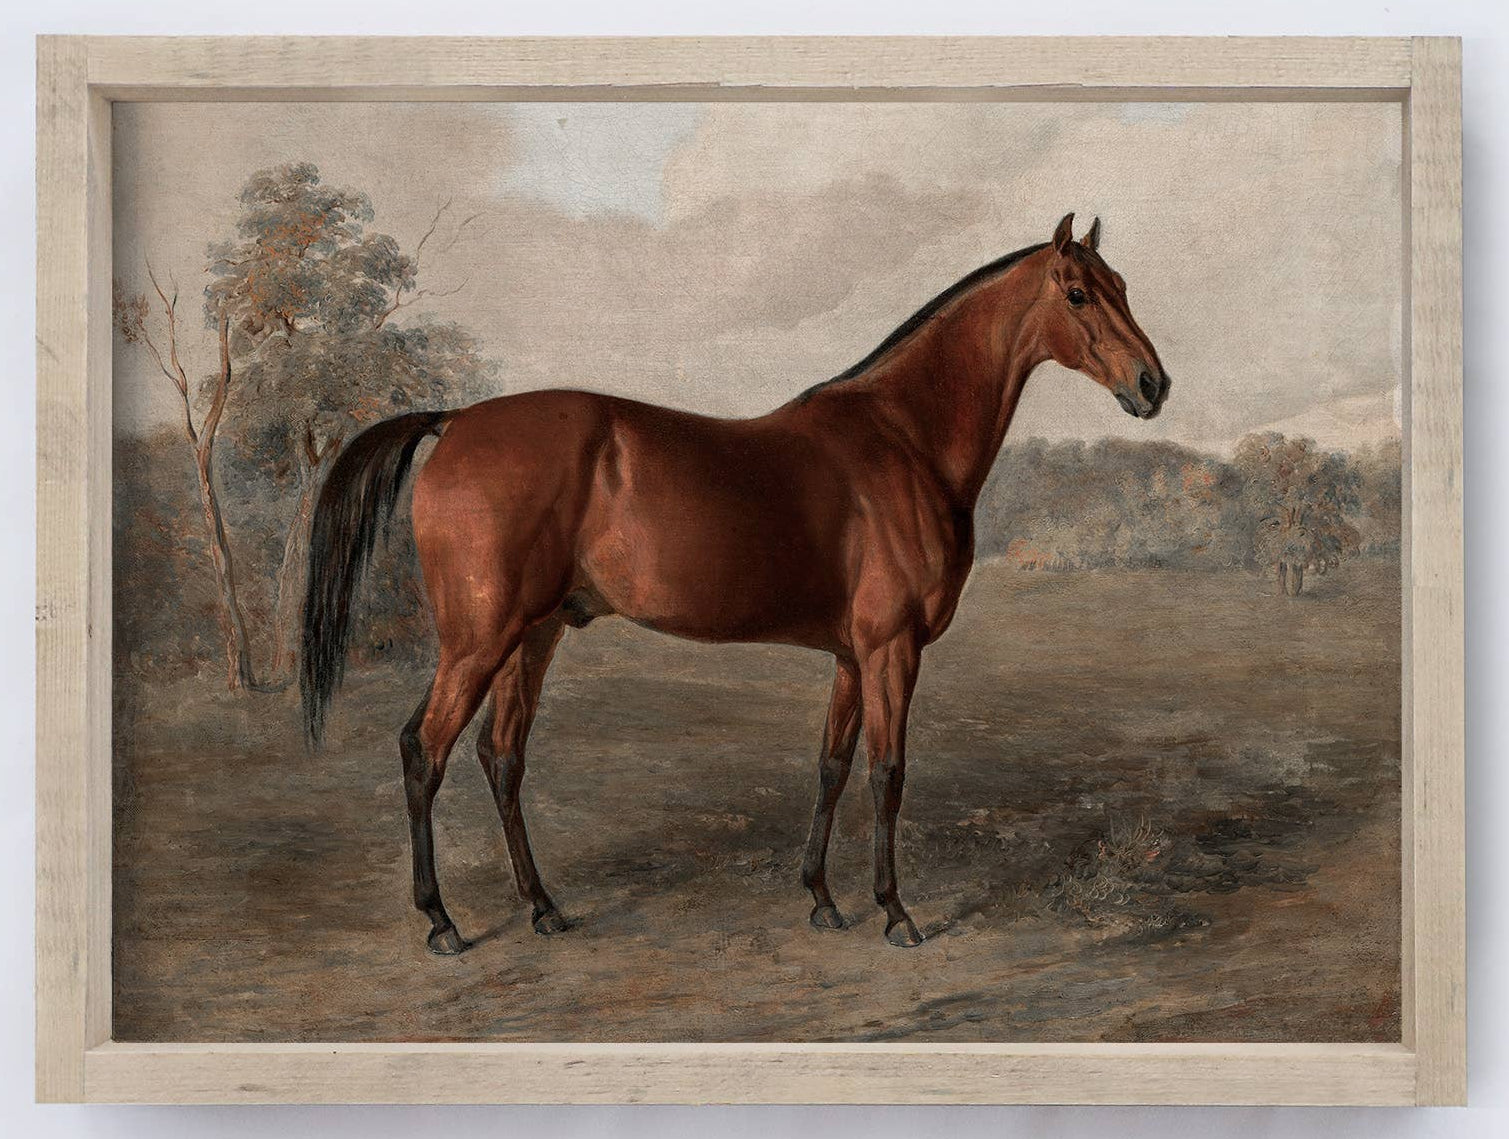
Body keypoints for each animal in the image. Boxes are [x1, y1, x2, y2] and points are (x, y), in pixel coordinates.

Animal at [301, 212, 1169, 955]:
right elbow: (887, 773)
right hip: (478, 637)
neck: (904, 440)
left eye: (1124, 283)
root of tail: (454, 421)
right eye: (1078, 292)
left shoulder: (851, 656)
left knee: (500, 754)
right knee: (425, 749)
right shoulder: (891, 650)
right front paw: (895, 911)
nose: (1152, 385)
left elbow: (831, 765)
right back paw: (441, 920)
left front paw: (821, 898)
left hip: (532, 633)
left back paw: (543, 907)